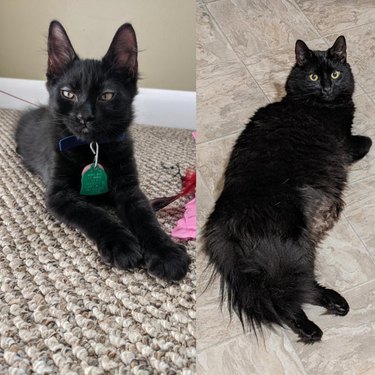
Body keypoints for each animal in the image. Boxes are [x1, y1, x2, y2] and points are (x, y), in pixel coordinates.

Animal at [15, 19, 191, 280]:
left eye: (107, 96)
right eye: (68, 93)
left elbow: (147, 218)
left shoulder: (130, 190)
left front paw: (166, 252)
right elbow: (95, 214)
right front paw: (121, 243)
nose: (85, 117)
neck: (93, 147)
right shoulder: (59, 194)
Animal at [201, 36, 372, 346]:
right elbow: (367, 141)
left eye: (335, 74)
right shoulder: (348, 144)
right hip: (293, 252)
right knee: (288, 298)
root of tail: (220, 223)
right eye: (314, 76)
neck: (314, 106)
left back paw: (334, 304)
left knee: (296, 292)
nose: (326, 87)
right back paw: (315, 326)